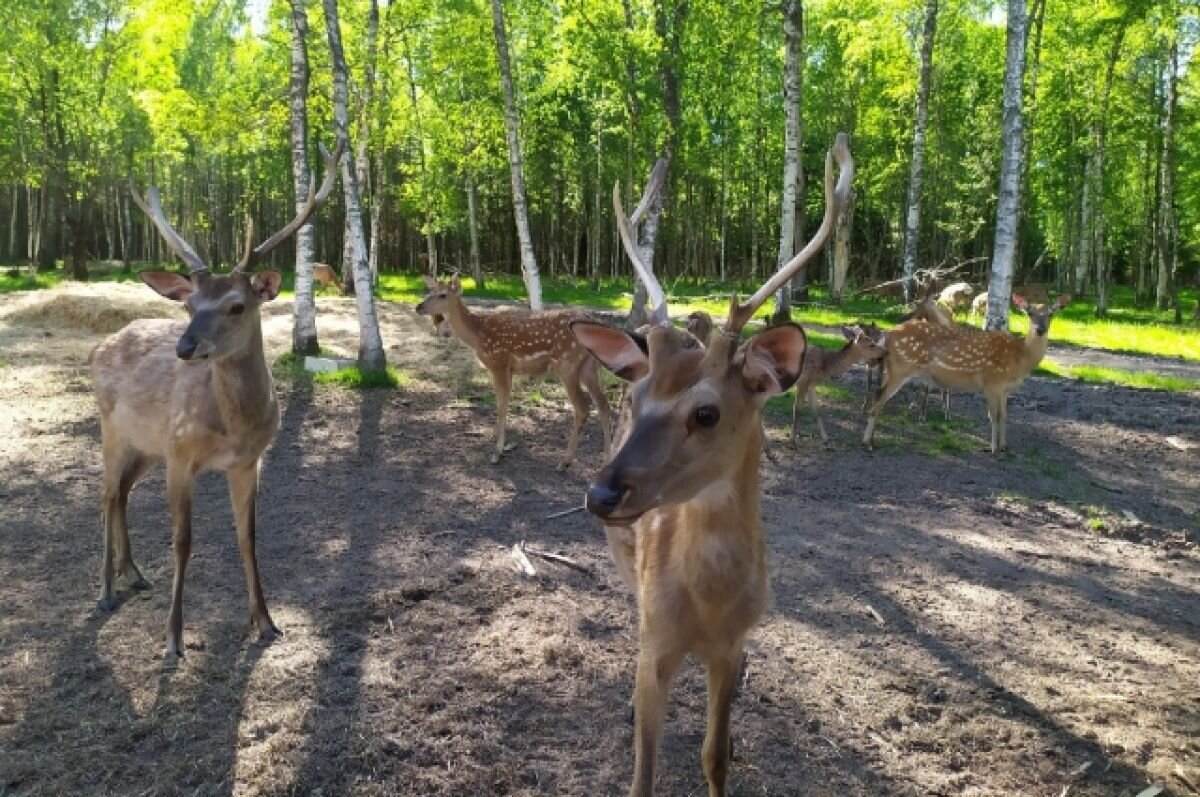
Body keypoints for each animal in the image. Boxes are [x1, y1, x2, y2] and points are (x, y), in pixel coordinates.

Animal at [87, 138, 343, 657]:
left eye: (237, 305)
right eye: (188, 304)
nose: (185, 348)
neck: (234, 428)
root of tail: (99, 346)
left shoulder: (247, 461)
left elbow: (248, 537)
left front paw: (265, 621)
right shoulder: (181, 454)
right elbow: (182, 541)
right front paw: (172, 638)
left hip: (147, 445)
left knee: (122, 492)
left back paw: (133, 573)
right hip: (112, 429)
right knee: (105, 494)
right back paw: (104, 590)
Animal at [415, 277, 619, 470]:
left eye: (442, 295)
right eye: (429, 291)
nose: (419, 306)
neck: (477, 335)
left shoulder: (499, 363)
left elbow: (501, 405)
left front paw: (497, 452)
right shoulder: (509, 369)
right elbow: (503, 403)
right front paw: (497, 441)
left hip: (567, 364)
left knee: (583, 407)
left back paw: (565, 462)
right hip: (589, 368)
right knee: (603, 404)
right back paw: (607, 461)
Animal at [568, 133, 854, 792]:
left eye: (706, 413)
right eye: (638, 398)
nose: (600, 495)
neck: (708, 607)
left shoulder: (731, 646)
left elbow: (714, 755)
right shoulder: (656, 645)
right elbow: (642, 773)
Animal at [864, 292, 1070, 453]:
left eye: (1051, 313)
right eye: (1029, 313)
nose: (1040, 329)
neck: (1020, 359)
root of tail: (888, 334)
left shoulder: (1005, 390)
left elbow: (1004, 416)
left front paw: (1005, 446)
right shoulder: (991, 383)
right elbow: (993, 416)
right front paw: (994, 449)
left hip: (892, 370)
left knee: (875, 395)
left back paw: (871, 439)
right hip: (901, 368)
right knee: (878, 400)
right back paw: (868, 443)